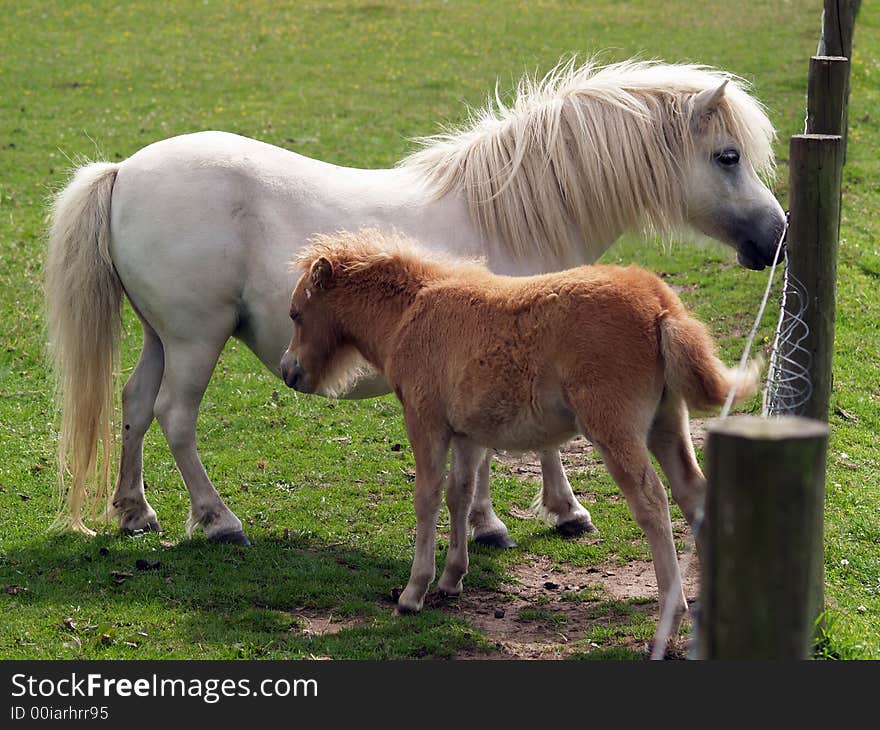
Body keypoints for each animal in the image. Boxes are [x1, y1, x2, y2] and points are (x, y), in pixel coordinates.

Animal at [46, 58, 784, 544]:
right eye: (727, 156)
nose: (776, 238)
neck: (512, 216)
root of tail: (124, 171)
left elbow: (529, 440)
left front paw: (555, 511)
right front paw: (503, 522)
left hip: (161, 336)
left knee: (135, 406)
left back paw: (135, 513)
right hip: (196, 341)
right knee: (175, 416)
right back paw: (219, 521)